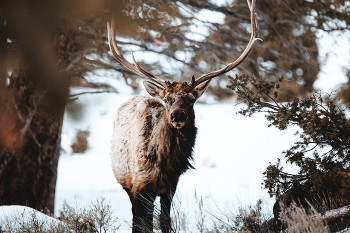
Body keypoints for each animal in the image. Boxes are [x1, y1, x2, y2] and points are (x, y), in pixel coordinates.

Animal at [108, 0, 262, 232]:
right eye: (167, 99)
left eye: (191, 99)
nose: (177, 116)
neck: (165, 163)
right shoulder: (140, 183)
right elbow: (141, 223)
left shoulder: (171, 184)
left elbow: (165, 221)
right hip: (126, 181)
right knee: (138, 218)